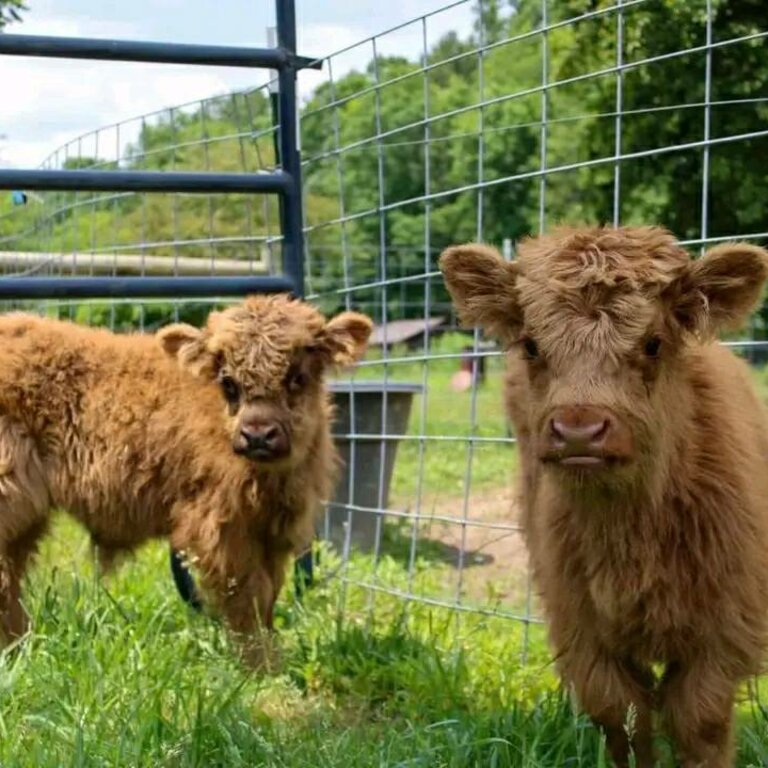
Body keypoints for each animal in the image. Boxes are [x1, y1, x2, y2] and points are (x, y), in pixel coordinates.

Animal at [0, 296, 372, 664]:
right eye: (228, 383)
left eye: (297, 377)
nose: (257, 435)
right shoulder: (221, 530)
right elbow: (247, 599)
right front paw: (259, 668)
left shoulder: (271, 532)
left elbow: (267, 598)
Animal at [440, 228, 768, 768]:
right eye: (532, 345)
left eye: (653, 343)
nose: (579, 430)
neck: (631, 540)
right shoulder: (581, 626)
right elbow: (622, 716)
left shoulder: (727, 625)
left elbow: (699, 721)